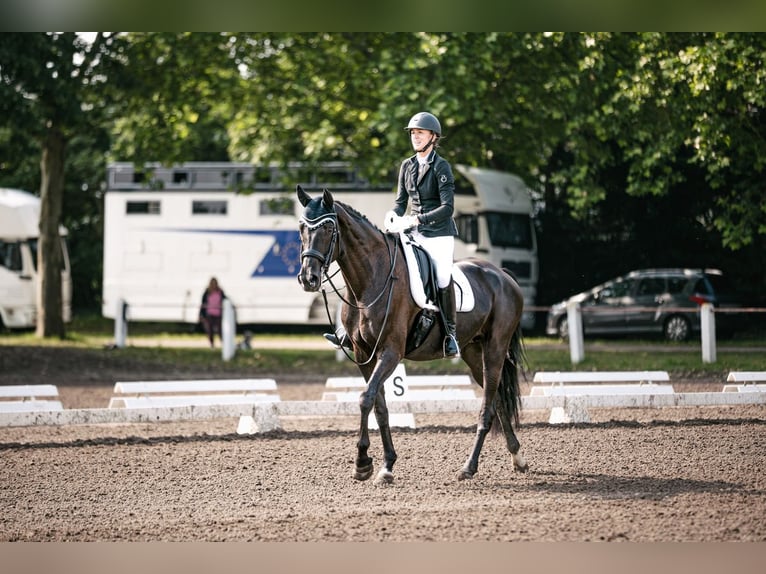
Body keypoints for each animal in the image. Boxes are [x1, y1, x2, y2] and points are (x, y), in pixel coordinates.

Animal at [296, 186, 529, 483]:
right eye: (302, 228)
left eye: (327, 228)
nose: (308, 279)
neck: (370, 281)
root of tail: (503, 275)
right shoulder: (364, 354)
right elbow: (379, 406)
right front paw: (386, 465)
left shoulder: (390, 352)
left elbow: (365, 399)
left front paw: (362, 463)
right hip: (474, 353)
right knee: (496, 397)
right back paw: (517, 457)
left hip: (495, 349)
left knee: (487, 407)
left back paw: (469, 467)